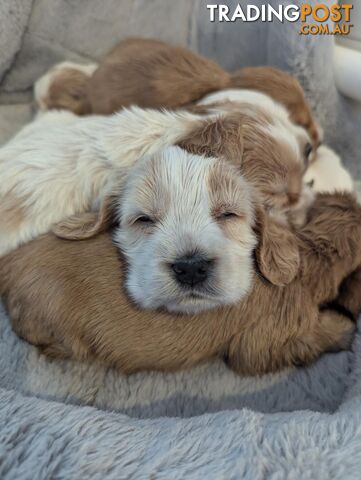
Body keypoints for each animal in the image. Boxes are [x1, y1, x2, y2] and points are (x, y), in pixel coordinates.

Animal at [0, 154, 358, 376]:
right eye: (143, 219)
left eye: (229, 214)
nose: (191, 268)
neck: (309, 253)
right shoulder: (263, 342)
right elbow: (304, 341)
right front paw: (343, 328)